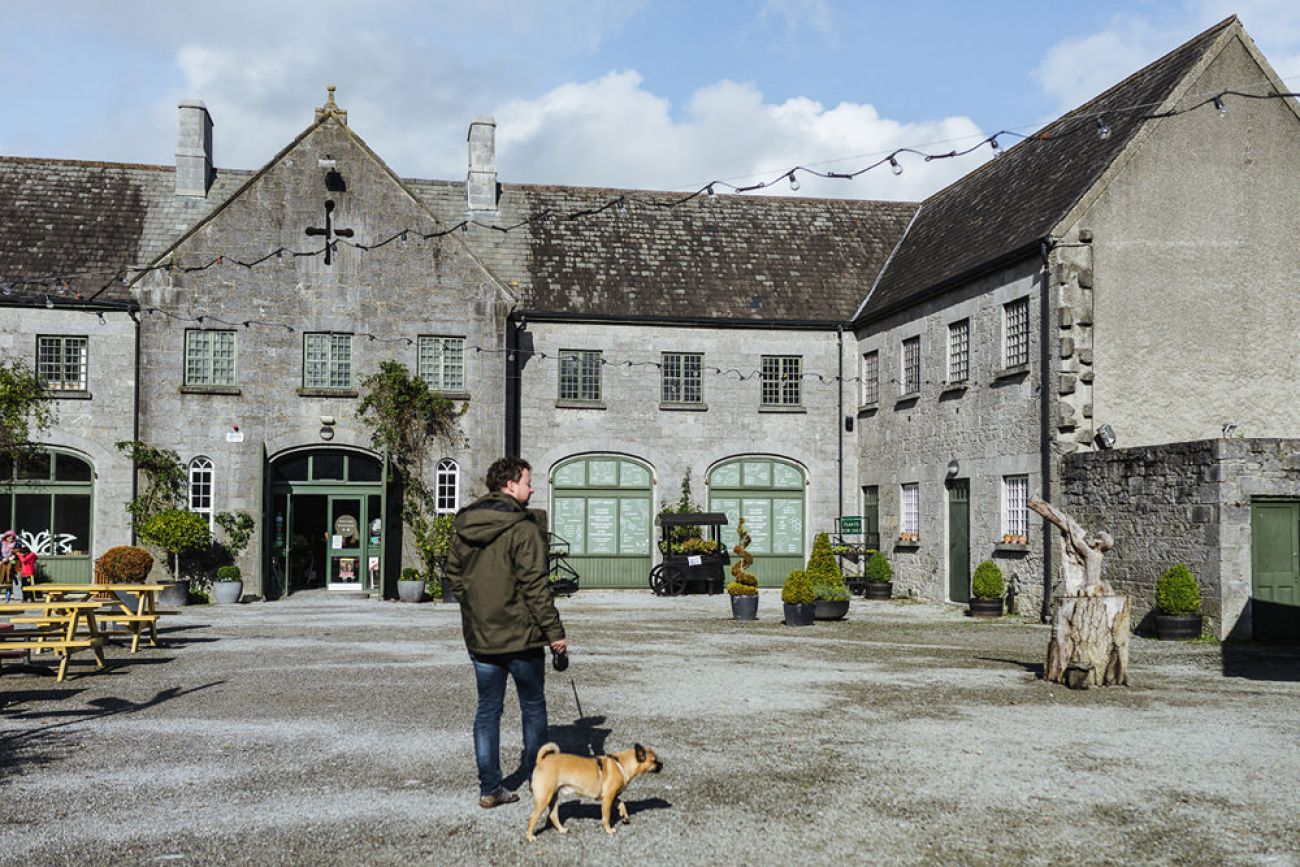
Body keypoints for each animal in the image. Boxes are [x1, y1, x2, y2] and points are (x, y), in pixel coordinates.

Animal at [525, 738, 665, 842]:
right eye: (654, 760)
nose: (662, 764)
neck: (622, 765)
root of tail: (541, 761)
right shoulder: (607, 800)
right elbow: (606, 817)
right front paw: (609, 830)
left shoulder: (613, 797)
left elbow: (622, 804)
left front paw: (624, 816)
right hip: (544, 798)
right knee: (532, 817)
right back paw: (530, 837)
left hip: (553, 797)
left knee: (553, 815)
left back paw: (562, 830)